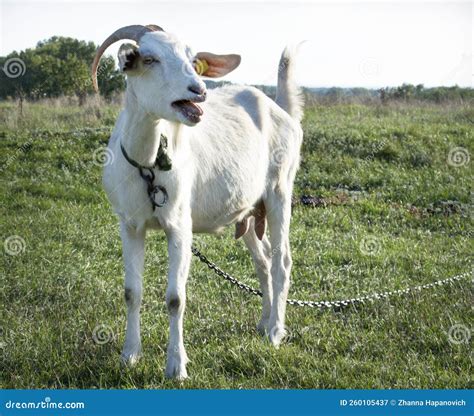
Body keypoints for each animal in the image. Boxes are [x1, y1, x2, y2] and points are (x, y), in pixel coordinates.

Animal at [92, 23, 304, 380]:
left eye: (193, 60)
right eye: (149, 59)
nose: (200, 90)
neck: (148, 165)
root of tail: (280, 109)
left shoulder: (179, 224)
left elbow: (176, 298)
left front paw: (177, 366)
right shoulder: (130, 225)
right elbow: (131, 292)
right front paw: (129, 355)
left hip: (279, 189)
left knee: (281, 261)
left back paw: (276, 331)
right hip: (247, 211)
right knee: (262, 261)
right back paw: (263, 323)